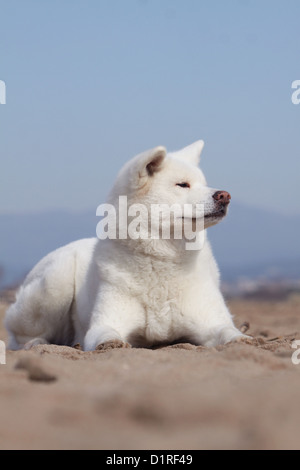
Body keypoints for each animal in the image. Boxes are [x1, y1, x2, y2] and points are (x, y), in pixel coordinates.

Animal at [4, 141, 246, 350]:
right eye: (182, 184)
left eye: (204, 184)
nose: (225, 195)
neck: (163, 257)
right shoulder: (106, 321)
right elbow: (107, 334)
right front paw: (110, 343)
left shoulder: (211, 322)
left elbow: (229, 331)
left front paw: (242, 339)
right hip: (56, 281)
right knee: (17, 334)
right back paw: (36, 344)